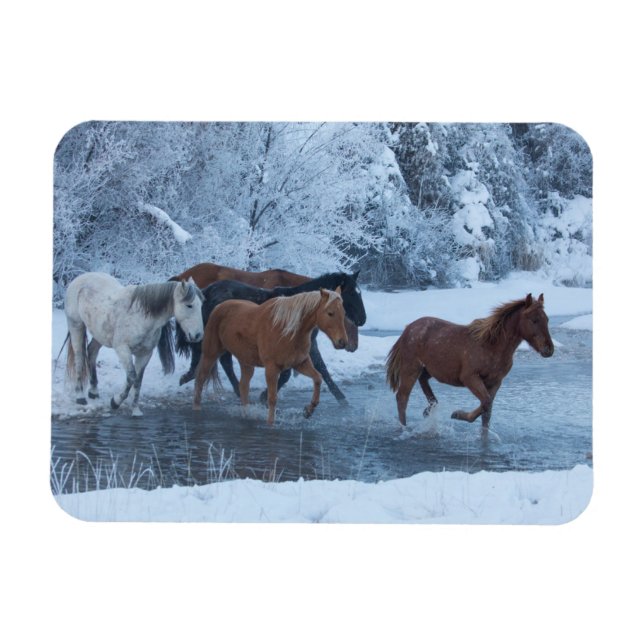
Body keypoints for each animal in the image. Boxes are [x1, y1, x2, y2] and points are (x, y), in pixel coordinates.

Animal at [64, 272, 204, 416]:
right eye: (189, 305)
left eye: (201, 305)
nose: (198, 335)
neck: (142, 317)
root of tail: (80, 278)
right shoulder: (123, 349)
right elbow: (131, 377)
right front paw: (115, 402)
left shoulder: (145, 354)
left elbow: (138, 381)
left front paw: (136, 410)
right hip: (76, 326)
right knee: (79, 358)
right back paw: (80, 396)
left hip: (99, 334)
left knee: (92, 352)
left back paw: (93, 391)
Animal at [174, 271, 366, 403]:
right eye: (350, 293)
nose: (362, 319)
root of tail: (208, 291)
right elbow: (287, 374)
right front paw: (264, 396)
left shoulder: (310, 345)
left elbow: (323, 369)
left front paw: (342, 399)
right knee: (222, 360)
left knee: (221, 360)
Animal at [193, 288, 348, 425]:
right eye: (330, 313)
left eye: (343, 313)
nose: (342, 342)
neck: (287, 331)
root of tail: (218, 306)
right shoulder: (272, 368)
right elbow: (272, 398)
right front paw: (270, 423)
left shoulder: (301, 363)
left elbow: (318, 378)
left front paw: (308, 411)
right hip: (210, 354)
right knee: (200, 379)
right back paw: (197, 407)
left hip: (246, 361)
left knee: (243, 386)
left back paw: (246, 413)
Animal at [385, 293, 555, 431]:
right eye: (534, 320)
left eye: (547, 319)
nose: (549, 349)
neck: (492, 346)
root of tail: (407, 329)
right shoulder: (469, 377)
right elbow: (485, 403)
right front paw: (457, 414)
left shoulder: (495, 382)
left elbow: (487, 412)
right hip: (411, 368)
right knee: (402, 397)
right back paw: (404, 427)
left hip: (429, 369)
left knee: (423, 382)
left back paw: (429, 409)